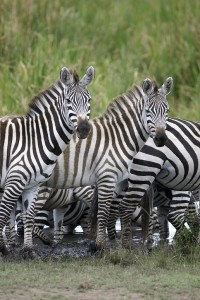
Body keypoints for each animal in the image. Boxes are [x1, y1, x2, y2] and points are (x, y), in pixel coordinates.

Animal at [0, 65, 94, 258]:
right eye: (68, 101)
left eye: (89, 100)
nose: (83, 129)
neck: (37, 139)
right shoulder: (14, 181)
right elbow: (5, 214)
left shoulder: (32, 185)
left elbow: (28, 217)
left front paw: (29, 251)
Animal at [30, 75, 173, 251]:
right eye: (148, 111)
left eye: (167, 111)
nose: (161, 139)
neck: (118, 137)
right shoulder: (109, 176)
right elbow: (104, 211)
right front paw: (101, 245)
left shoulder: (114, 180)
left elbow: (104, 210)